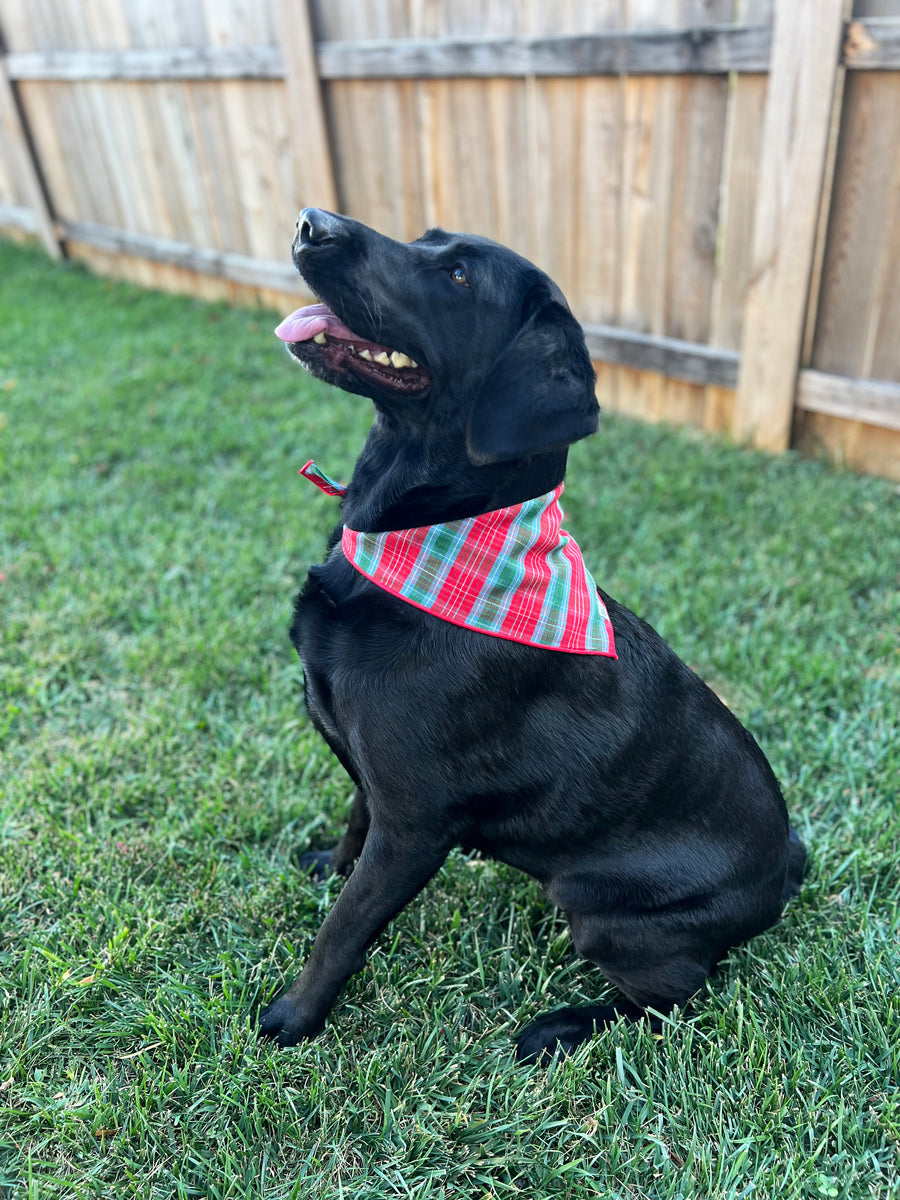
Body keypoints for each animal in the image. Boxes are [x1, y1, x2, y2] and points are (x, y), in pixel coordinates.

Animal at [256, 211, 806, 1065]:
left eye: (458, 277)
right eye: (427, 238)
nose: (313, 222)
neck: (427, 548)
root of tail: (782, 877)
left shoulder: (413, 827)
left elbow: (342, 932)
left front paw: (294, 1019)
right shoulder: (375, 784)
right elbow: (351, 823)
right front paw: (326, 865)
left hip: (604, 909)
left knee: (677, 1000)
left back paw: (558, 1029)